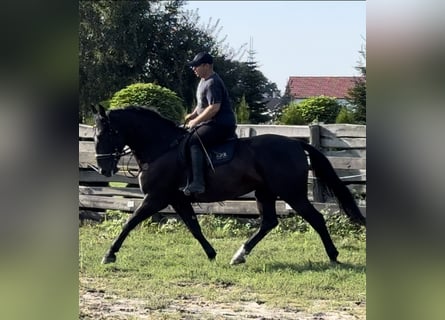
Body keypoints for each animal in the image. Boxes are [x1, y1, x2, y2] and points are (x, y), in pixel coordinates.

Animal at [91, 104, 364, 264]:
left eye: (105, 134)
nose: (104, 169)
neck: (161, 148)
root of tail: (296, 143)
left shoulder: (156, 198)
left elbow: (130, 222)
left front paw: (109, 254)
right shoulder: (177, 199)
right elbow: (193, 226)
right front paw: (211, 254)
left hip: (292, 193)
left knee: (316, 219)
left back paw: (333, 256)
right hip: (265, 192)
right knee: (269, 222)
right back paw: (240, 255)